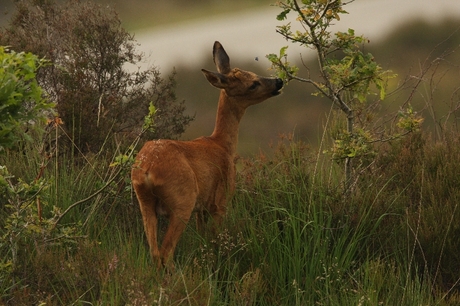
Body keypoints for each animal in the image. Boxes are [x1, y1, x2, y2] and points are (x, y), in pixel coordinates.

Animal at [130, 40, 284, 268]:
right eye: (252, 84)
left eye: (252, 73)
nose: (278, 81)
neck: (222, 144)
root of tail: (147, 169)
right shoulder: (220, 201)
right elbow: (215, 239)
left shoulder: (201, 209)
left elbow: (203, 240)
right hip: (182, 201)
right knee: (166, 252)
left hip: (145, 203)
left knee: (154, 253)